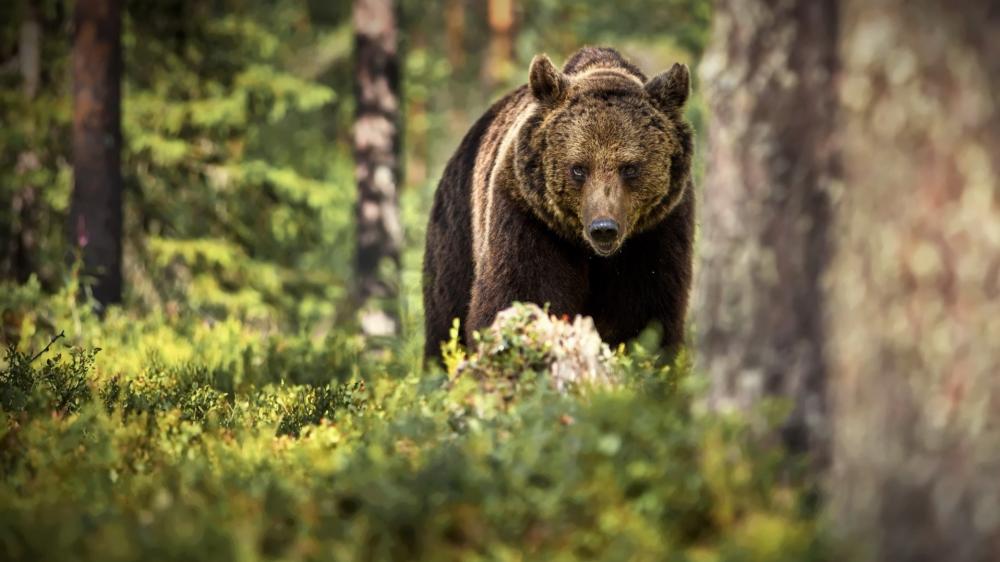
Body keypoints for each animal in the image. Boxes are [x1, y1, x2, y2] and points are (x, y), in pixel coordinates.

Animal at [423, 46, 694, 360]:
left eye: (630, 168)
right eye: (578, 168)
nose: (604, 228)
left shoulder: (656, 232)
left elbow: (645, 313)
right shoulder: (529, 217)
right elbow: (521, 293)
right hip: (457, 228)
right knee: (445, 313)